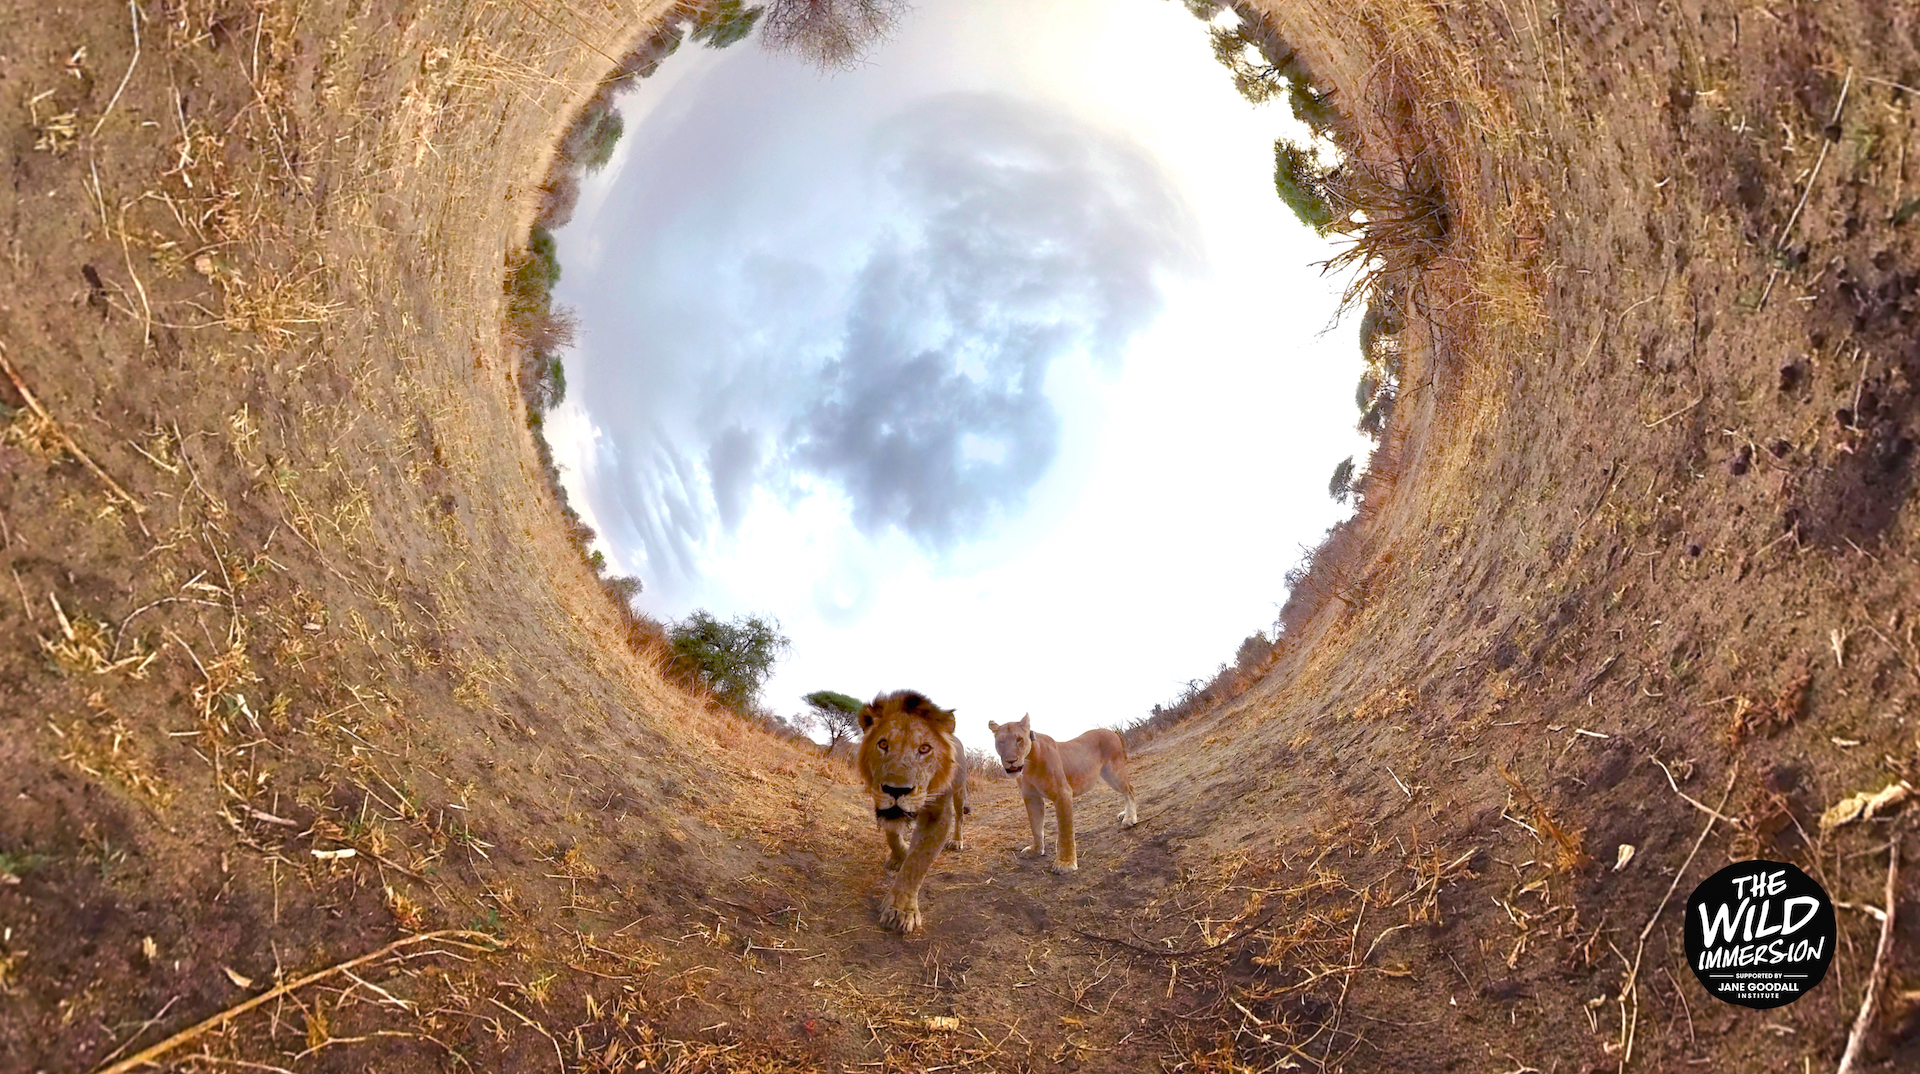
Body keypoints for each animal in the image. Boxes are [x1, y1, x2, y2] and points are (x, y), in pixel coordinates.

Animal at [864, 687, 967, 933]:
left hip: (960, 792)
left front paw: (901, 910)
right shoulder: (882, 804)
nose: (896, 790)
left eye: (924, 749)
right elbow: (893, 835)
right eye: (883, 744)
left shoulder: (938, 812)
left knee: (960, 817)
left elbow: (918, 860)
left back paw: (957, 841)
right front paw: (899, 856)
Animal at [998, 714, 1128, 876]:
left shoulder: (1063, 793)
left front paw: (1066, 863)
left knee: (1131, 791)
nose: (1010, 760)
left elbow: (1065, 831)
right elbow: (1035, 826)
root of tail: (1113, 732)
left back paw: (1130, 819)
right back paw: (1125, 815)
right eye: (1001, 742)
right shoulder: (1031, 796)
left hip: (1114, 772)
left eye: (1019, 739)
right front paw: (1036, 850)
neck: (1029, 764)